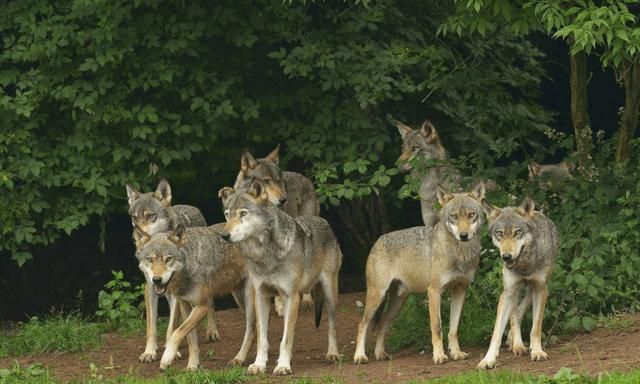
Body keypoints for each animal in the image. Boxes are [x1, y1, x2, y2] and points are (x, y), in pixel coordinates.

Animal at [125, 180, 220, 364]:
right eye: (134, 218)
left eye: (150, 215)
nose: (135, 237)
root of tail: (190, 206)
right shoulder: (150, 286)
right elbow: (151, 326)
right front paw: (149, 352)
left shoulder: (177, 292)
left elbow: (172, 326)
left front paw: (172, 351)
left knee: (209, 303)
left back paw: (212, 331)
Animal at [134, 224, 255, 370]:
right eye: (149, 259)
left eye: (168, 259)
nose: (157, 280)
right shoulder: (185, 305)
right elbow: (191, 340)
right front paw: (192, 366)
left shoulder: (201, 306)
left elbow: (176, 332)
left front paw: (167, 357)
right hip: (239, 299)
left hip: (248, 300)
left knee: (251, 330)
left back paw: (241, 358)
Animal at [218, 178, 342, 376]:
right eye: (227, 215)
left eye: (243, 213)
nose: (224, 235)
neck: (265, 255)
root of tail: (322, 220)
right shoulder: (262, 296)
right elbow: (263, 339)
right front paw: (258, 365)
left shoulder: (291, 297)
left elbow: (286, 338)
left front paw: (283, 366)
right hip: (251, 301)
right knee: (252, 331)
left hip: (329, 296)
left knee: (331, 326)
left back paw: (333, 354)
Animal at [350, 183, 484, 366]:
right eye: (454, 217)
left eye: (471, 215)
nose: (463, 235)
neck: (460, 254)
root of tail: (377, 240)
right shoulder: (434, 292)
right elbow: (437, 328)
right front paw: (439, 356)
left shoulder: (460, 290)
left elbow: (454, 329)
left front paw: (456, 353)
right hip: (377, 296)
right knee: (362, 324)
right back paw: (360, 356)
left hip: (398, 303)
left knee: (382, 324)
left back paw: (380, 354)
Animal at [476, 198, 560, 368]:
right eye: (499, 233)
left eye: (517, 232)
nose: (506, 257)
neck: (525, 265)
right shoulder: (508, 292)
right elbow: (497, 332)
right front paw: (488, 359)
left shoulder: (540, 289)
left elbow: (535, 328)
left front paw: (537, 352)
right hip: (513, 290)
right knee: (514, 314)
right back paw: (517, 345)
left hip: (533, 289)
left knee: (521, 307)